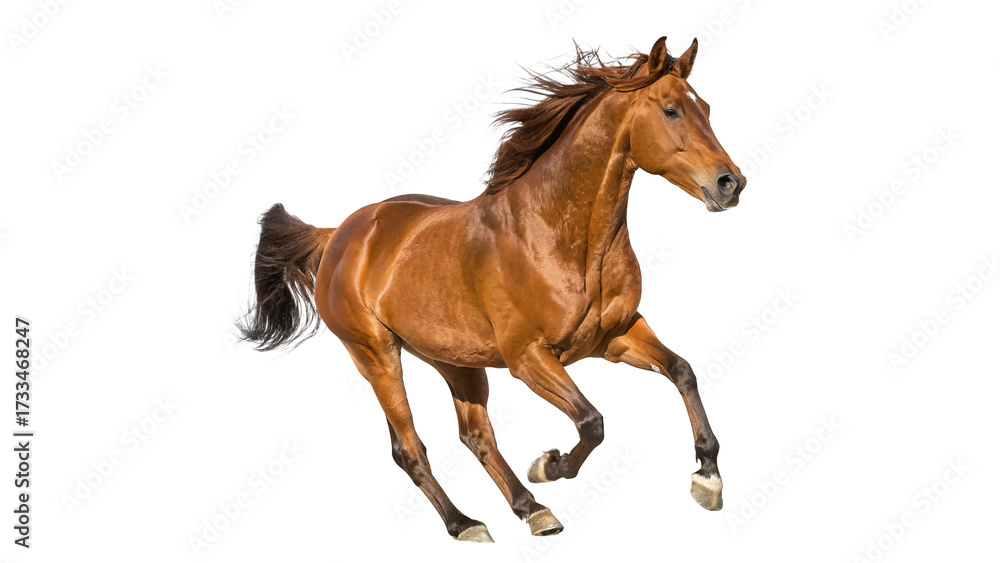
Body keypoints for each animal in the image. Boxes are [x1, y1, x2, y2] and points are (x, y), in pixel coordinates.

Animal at [238, 36, 746, 543]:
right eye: (671, 110)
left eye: (705, 107)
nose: (731, 183)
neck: (558, 236)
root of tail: (337, 235)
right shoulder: (528, 357)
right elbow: (592, 422)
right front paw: (550, 464)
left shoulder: (615, 337)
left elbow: (682, 372)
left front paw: (707, 478)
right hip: (376, 355)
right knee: (410, 448)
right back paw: (467, 523)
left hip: (454, 360)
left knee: (476, 437)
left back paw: (532, 510)